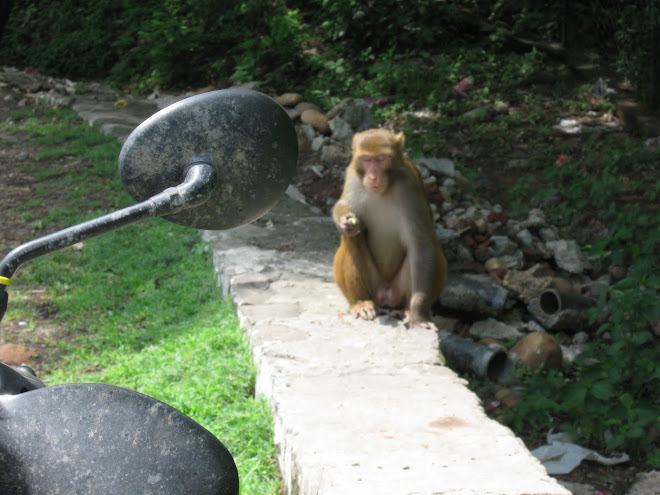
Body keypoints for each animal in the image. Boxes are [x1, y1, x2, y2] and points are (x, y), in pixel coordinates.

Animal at [332, 128, 447, 329]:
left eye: (382, 158)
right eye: (366, 159)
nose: (372, 176)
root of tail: (386, 294)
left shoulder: (409, 187)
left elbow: (420, 245)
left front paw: (418, 313)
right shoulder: (353, 175)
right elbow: (344, 206)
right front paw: (343, 220)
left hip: (398, 288)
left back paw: (407, 310)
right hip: (374, 284)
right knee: (351, 237)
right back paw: (360, 302)